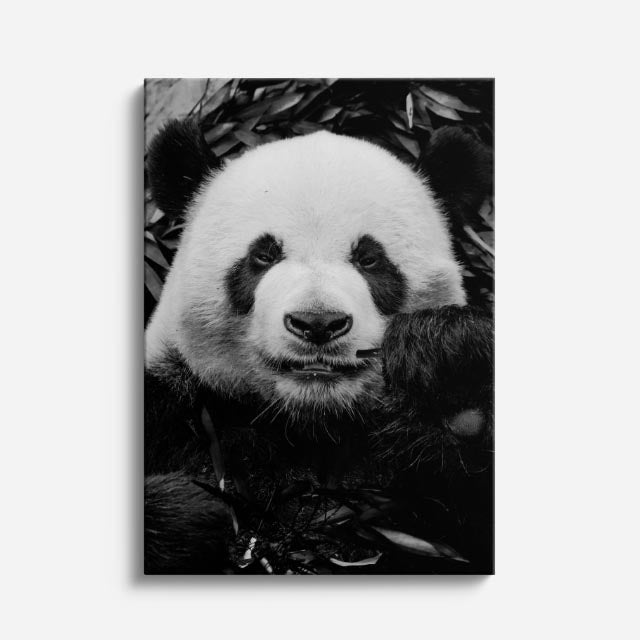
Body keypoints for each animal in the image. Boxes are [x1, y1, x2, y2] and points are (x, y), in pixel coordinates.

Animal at [144, 120, 494, 575]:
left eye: (369, 259)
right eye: (262, 256)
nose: (318, 323)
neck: (311, 422)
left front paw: (447, 366)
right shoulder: (174, 408)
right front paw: (192, 511)